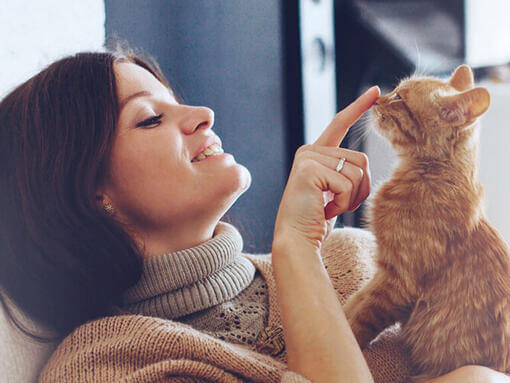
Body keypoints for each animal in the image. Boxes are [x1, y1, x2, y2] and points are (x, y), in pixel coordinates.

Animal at [342, 66, 510, 380]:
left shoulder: (397, 283)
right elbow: (354, 302)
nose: (377, 100)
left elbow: (359, 321)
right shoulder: (383, 273)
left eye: (399, 98)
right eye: (394, 91)